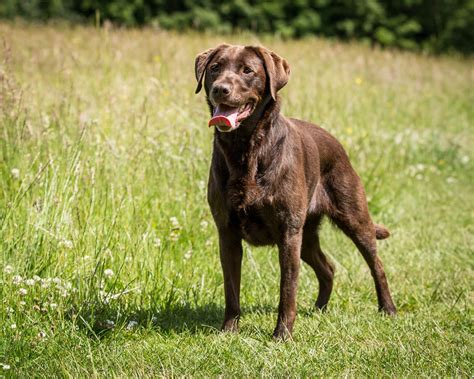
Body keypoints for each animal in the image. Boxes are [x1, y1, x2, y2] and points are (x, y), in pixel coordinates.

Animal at [193, 44, 396, 342]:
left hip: (353, 220)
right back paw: (319, 310)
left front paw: (282, 336)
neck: (246, 148)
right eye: (215, 68)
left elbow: (287, 289)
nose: (220, 89)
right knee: (328, 269)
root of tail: (336, 143)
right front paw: (228, 332)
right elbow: (232, 289)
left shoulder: (288, 233)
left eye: (247, 70)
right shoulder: (227, 232)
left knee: (376, 264)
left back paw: (387, 308)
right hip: (307, 236)